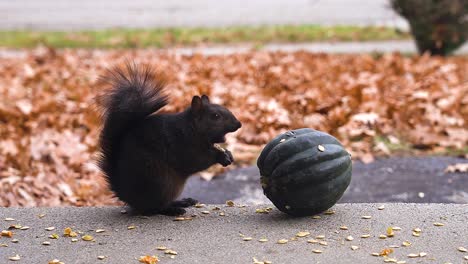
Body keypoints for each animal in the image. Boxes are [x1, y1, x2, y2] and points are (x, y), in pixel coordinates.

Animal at [96, 63, 241, 216]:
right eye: (215, 116)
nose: (238, 124)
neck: (191, 128)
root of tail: (126, 195)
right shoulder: (181, 145)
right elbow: (197, 160)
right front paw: (220, 157)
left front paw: (228, 154)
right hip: (159, 181)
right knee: (154, 208)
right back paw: (174, 209)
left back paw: (183, 201)